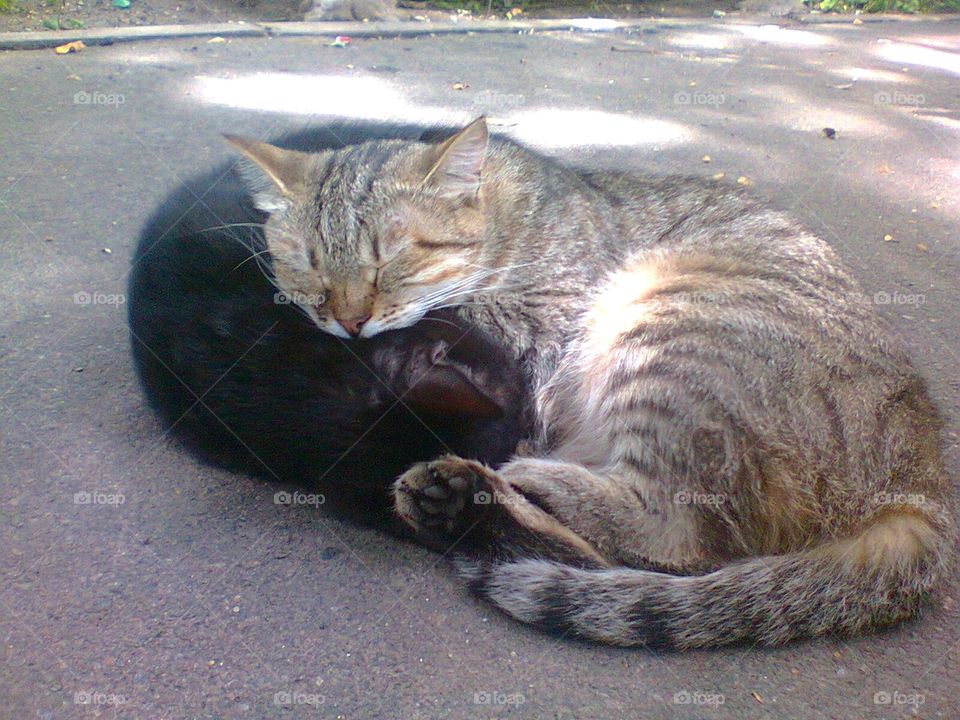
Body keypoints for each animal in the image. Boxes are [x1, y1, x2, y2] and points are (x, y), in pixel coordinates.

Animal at [229, 116, 956, 648]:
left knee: (671, 537)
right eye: (309, 264)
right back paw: (467, 504)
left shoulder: (545, 318)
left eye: (391, 259)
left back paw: (515, 482)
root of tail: (920, 477)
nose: (347, 319)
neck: (505, 220)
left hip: (667, 330)